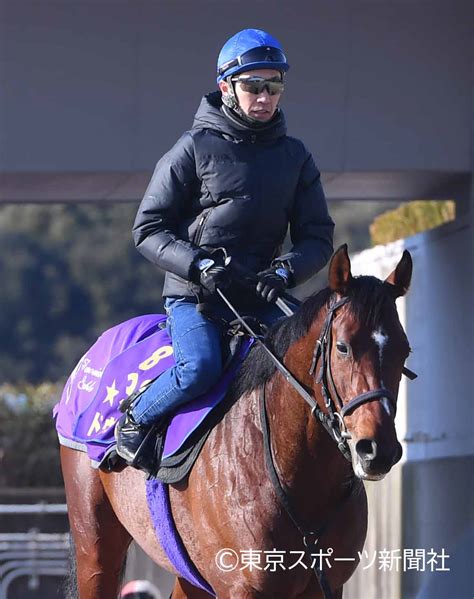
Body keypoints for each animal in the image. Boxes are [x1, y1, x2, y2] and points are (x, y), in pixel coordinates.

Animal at [61, 245, 412, 599]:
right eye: (342, 347)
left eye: (405, 350)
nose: (377, 450)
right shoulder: (241, 586)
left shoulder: (326, 585)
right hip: (95, 543)